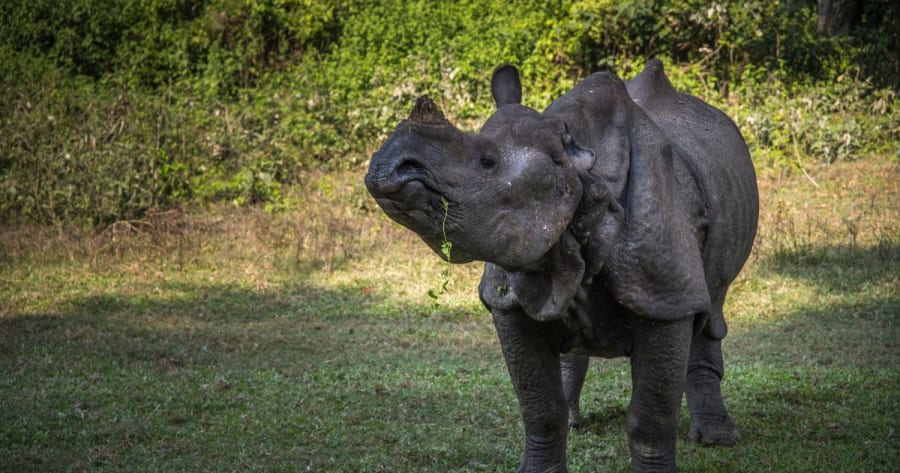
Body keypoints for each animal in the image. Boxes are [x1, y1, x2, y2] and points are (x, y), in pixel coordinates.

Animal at [365, 59, 759, 472]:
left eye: (487, 162)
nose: (387, 168)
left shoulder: (664, 294)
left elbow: (650, 418)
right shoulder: (510, 296)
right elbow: (539, 407)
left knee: (711, 304)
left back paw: (718, 440)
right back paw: (576, 420)